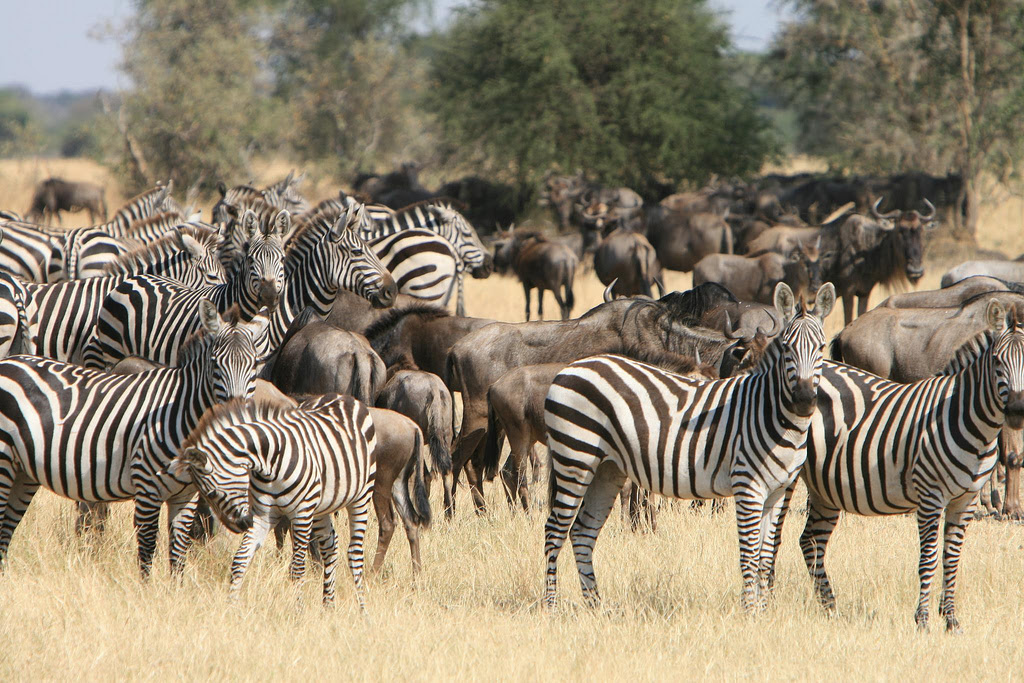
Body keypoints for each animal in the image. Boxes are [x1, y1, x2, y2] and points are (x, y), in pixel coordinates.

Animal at [0, 301, 270, 573]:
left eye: (255, 365)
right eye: (215, 364)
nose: (234, 410)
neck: (179, 413)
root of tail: (10, 361)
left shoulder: (185, 496)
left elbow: (178, 555)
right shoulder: (147, 488)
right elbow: (147, 550)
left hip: (23, 471)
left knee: (6, 530)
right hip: (4, 463)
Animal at [167, 395, 395, 610]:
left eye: (212, 493)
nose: (241, 525)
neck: (269, 464)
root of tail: (343, 396)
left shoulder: (301, 514)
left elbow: (297, 569)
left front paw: (298, 612)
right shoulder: (263, 516)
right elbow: (240, 560)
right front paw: (231, 607)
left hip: (361, 496)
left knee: (354, 554)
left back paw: (362, 610)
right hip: (321, 506)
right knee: (330, 546)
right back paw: (328, 607)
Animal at [540, 280, 835, 610]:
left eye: (822, 348)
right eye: (786, 349)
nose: (805, 400)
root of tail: (573, 367)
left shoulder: (778, 490)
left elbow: (766, 554)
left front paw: (763, 609)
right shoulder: (748, 485)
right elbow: (750, 553)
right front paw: (750, 611)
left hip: (606, 468)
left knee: (582, 530)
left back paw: (595, 605)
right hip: (575, 458)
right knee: (554, 530)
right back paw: (551, 605)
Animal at [770, 301, 1024, 634]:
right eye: (996, 362)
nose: (1017, 411)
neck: (966, 418)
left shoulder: (965, 500)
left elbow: (952, 559)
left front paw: (951, 619)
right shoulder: (930, 497)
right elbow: (928, 559)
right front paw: (923, 620)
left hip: (824, 485)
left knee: (811, 540)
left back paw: (830, 607)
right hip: (787, 475)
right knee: (775, 536)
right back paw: (769, 597)